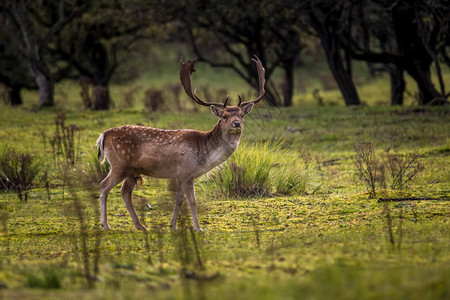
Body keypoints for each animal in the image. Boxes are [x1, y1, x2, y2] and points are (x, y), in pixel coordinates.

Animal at [95, 57, 264, 233]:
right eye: (224, 116)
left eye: (242, 114)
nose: (237, 123)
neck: (204, 155)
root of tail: (104, 135)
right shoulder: (186, 172)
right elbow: (192, 201)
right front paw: (198, 228)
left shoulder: (182, 175)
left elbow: (179, 200)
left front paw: (172, 225)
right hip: (119, 164)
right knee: (103, 186)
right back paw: (106, 225)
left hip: (131, 170)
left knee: (125, 192)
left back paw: (140, 226)